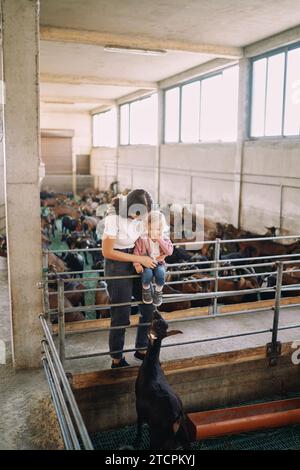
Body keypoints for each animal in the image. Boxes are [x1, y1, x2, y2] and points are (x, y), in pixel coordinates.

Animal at [135, 310, 190, 450]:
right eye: (163, 323)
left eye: (155, 324)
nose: (156, 311)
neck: (152, 365)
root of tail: (176, 417)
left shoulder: (138, 404)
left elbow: (139, 423)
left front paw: (137, 441)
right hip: (183, 432)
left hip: (158, 435)